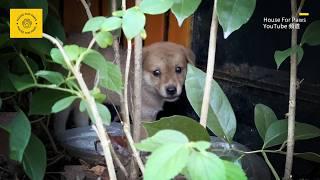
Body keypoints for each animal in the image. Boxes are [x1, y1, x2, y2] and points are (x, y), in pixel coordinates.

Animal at [54, 34, 195, 135]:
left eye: (178, 69)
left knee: (80, 115)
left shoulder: (151, 115)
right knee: (61, 116)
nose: (171, 89)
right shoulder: (141, 117)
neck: (145, 86)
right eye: (156, 72)